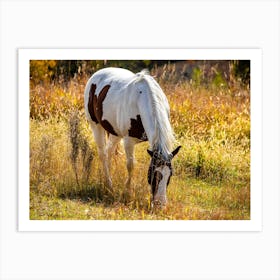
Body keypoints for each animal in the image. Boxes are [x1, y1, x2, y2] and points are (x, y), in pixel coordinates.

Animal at [84, 66, 180, 205]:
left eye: (170, 175)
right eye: (154, 174)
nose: (160, 204)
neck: (142, 99)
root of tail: (96, 74)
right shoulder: (128, 141)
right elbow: (131, 165)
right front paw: (127, 192)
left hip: (115, 133)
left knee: (109, 151)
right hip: (95, 125)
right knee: (103, 154)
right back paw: (109, 185)